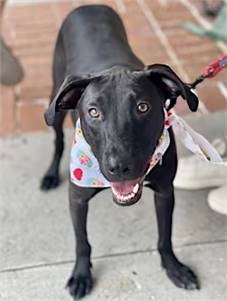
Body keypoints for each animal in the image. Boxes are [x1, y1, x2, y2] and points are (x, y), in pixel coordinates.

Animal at [41, 4, 200, 298]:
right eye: (93, 112)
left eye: (143, 107)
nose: (120, 167)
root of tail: (88, 6)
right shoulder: (77, 198)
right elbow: (82, 242)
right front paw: (81, 274)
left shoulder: (165, 192)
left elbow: (165, 236)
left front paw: (173, 268)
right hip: (54, 104)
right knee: (57, 140)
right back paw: (50, 175)